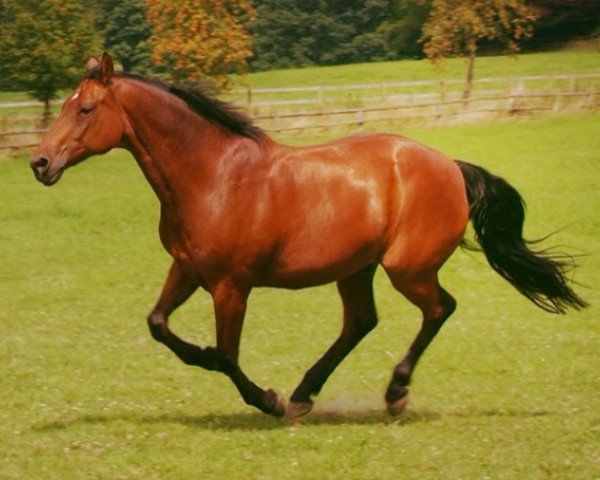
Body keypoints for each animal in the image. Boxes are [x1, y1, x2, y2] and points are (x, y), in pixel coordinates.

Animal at [29, 54, 584, 418]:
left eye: (84, 110)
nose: (40, 163)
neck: (213, 175)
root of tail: (451, 165)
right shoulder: (187, 268)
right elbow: (159, 324)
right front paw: (232, 373)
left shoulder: (231, 285)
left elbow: (226, 355)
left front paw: (267, 399)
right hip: (356, 268)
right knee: (361, 322)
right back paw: (306, 393)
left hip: (407, 268)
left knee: (439, 309)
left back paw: (391, 393)